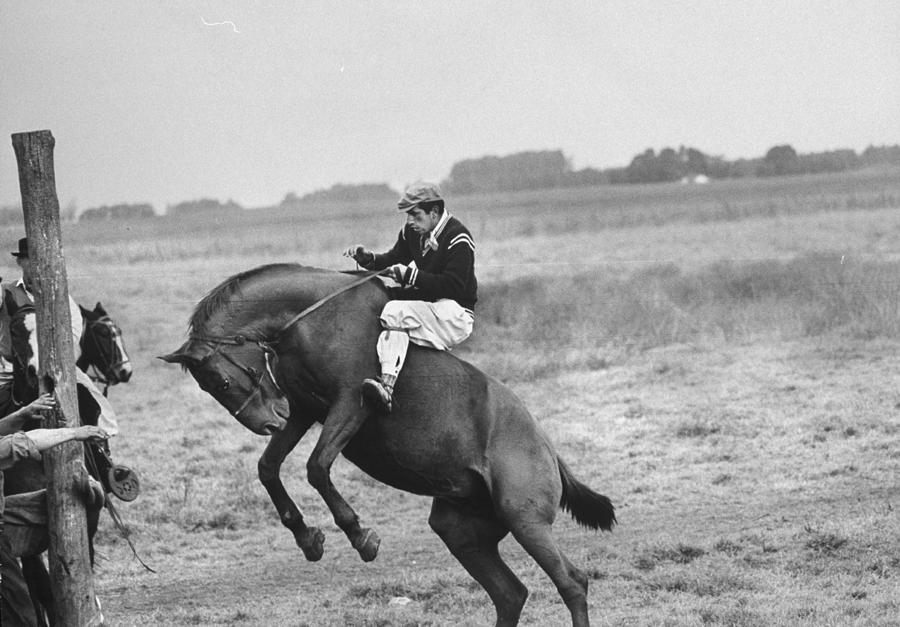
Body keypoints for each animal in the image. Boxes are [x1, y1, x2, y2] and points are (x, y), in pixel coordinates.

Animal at [162, 264, 616, 627]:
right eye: (209, 387)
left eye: (222, 380)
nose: (267, 422)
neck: (311, 316)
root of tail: (545, 445)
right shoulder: (304, 410)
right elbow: (269, 469)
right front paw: (309, 539)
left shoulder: (350, 403)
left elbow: (316, 467)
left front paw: (360, 536)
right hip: (461, 532)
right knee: (510, 594)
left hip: (525, 519)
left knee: (572, 582)